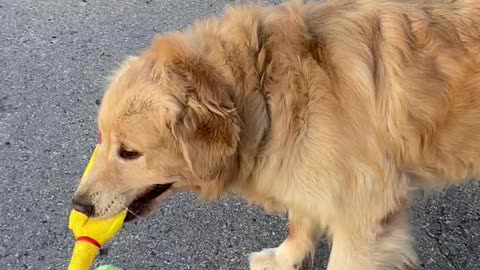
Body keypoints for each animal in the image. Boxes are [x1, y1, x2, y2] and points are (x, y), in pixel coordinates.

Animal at [72, 0, 480, 268]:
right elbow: (300, 219)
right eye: (102, 139)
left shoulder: (363, 217)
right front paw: (286, 257)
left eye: (129, 152)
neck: (264, 88)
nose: (79, 206)